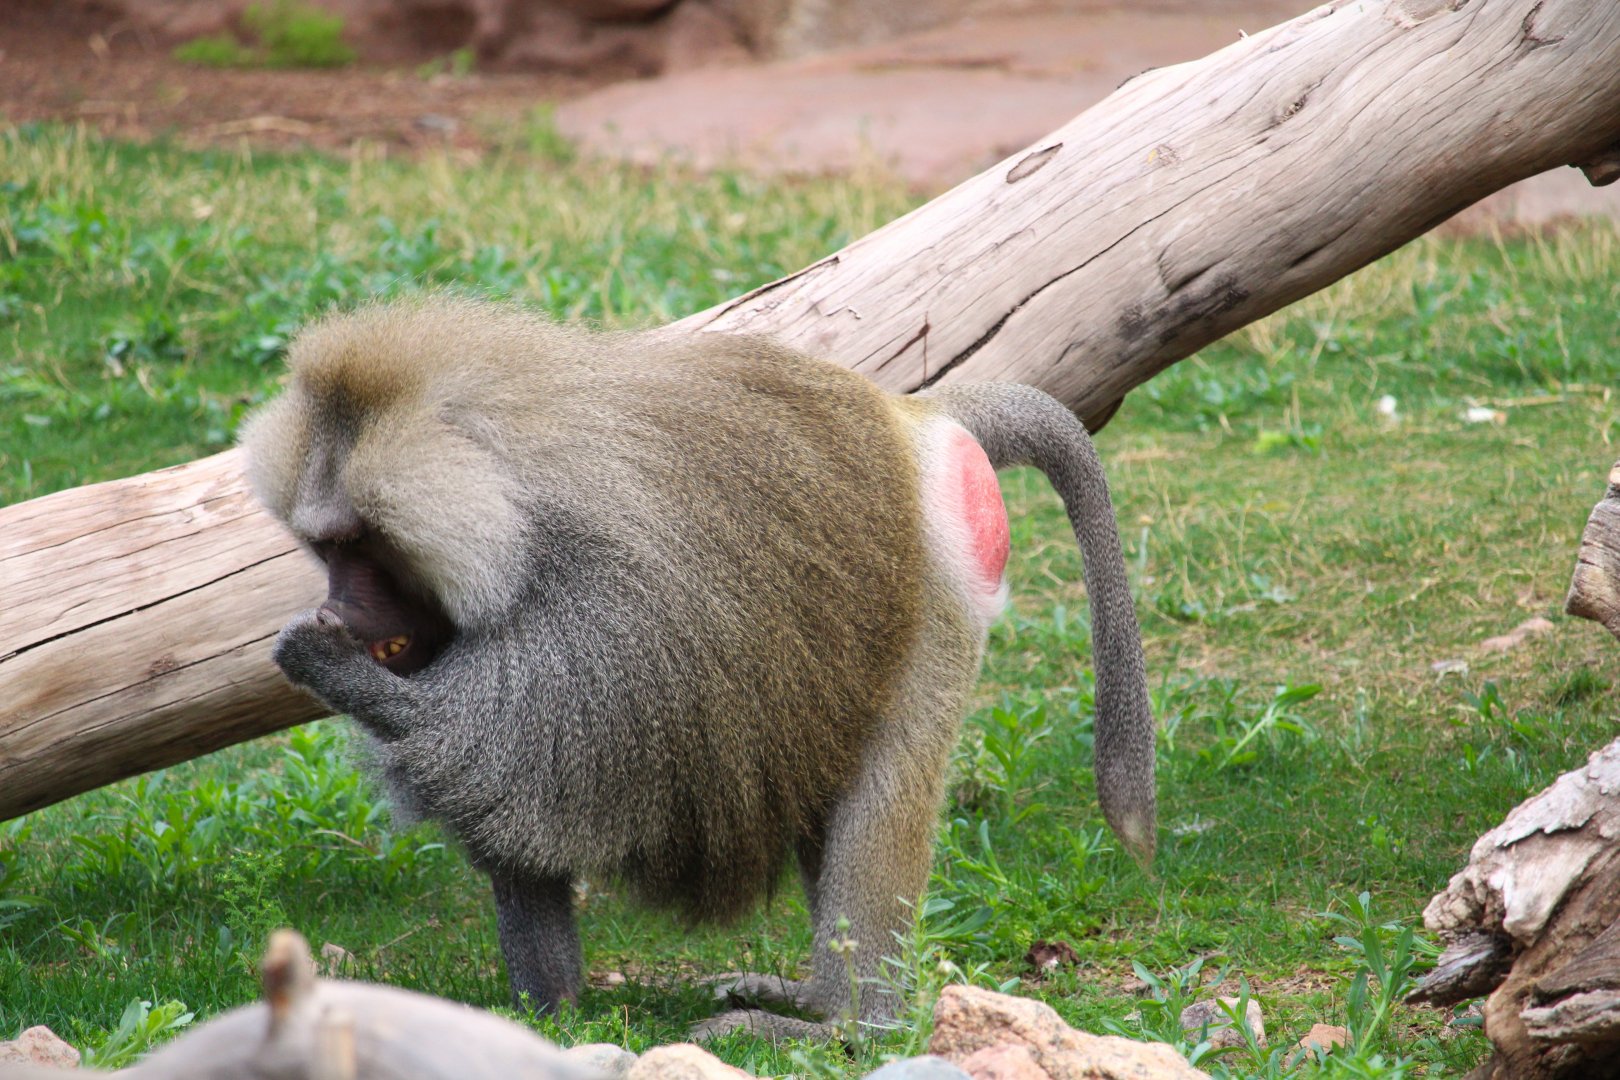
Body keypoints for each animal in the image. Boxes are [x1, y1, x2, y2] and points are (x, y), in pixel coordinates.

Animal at [241, 296, 1155, 1041]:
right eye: (326, 549)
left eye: (361, 545)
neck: (514, 509)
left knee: (884, 779)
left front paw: (316, 657)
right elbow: (498, 799)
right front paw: (549, 1015)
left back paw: (852, 1027)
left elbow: (491, 756)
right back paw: (811, 1000)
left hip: (936, 588)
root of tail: (909, 413)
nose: (339, 613)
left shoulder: (610, 608)